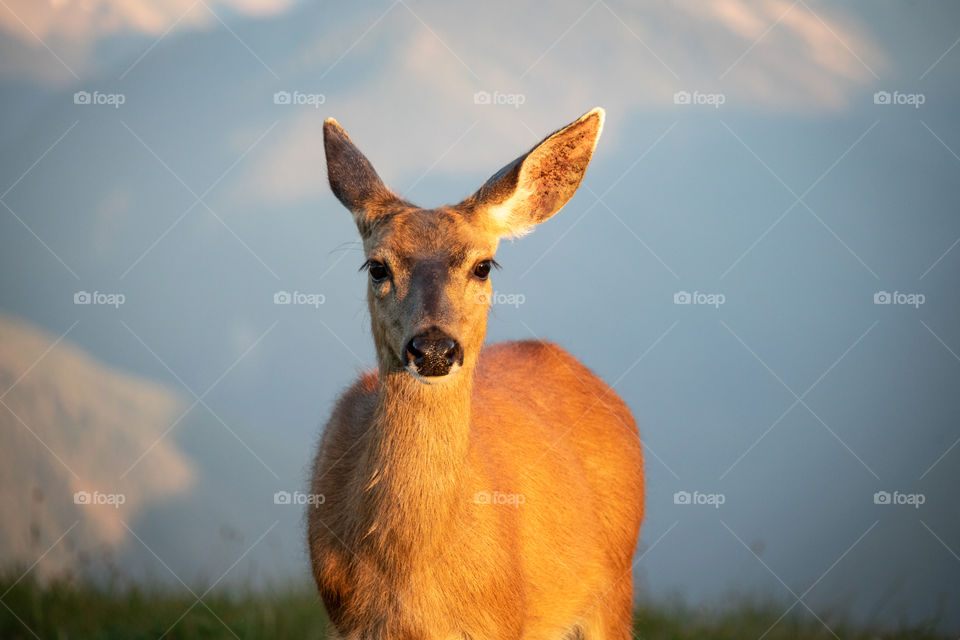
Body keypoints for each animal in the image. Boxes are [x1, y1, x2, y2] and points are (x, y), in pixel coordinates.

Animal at [308, 107, 644, 639]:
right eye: (377, 267)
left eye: (483, 265)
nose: (433, 348)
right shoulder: (344, 621)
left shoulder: (502, 623)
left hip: (613, 589)